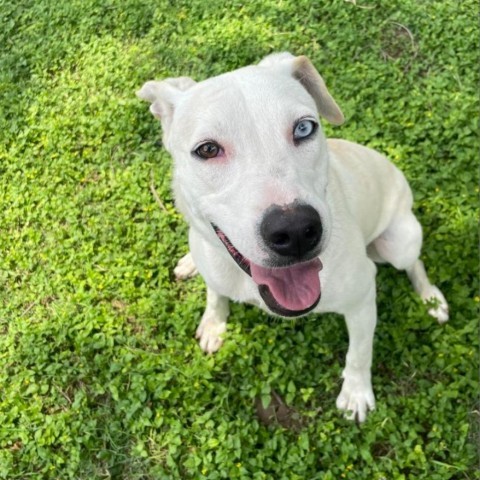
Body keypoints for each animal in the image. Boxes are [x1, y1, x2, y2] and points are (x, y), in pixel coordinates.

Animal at [137, 51, 448, 420]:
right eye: (208, 149)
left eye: (304, 128)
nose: (296, 230)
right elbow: (215, 295)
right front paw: (214, 323)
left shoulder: (362, 299)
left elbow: (359, 353)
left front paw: (356, 393)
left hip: (399, 241)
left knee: (415, 264)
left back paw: (430, 298)